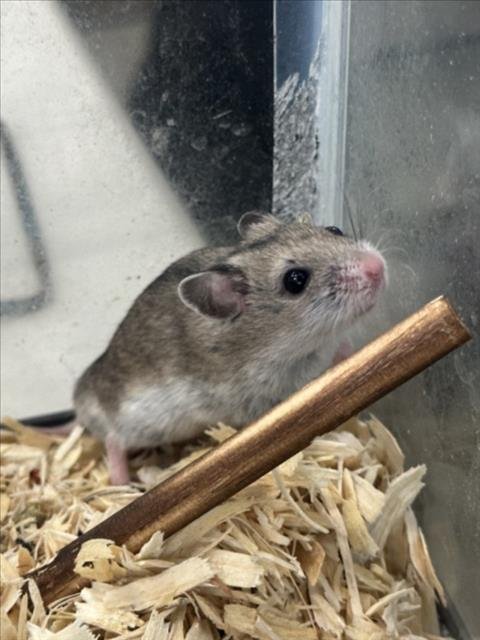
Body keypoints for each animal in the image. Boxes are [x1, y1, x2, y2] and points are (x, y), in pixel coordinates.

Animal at [74, 212, 387, 484]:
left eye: (335, 229)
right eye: (296, 280)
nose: (377, 267)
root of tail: (78, 403)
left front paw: (349, 348)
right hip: (136, 423)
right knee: (113, 441)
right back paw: (123, 484)